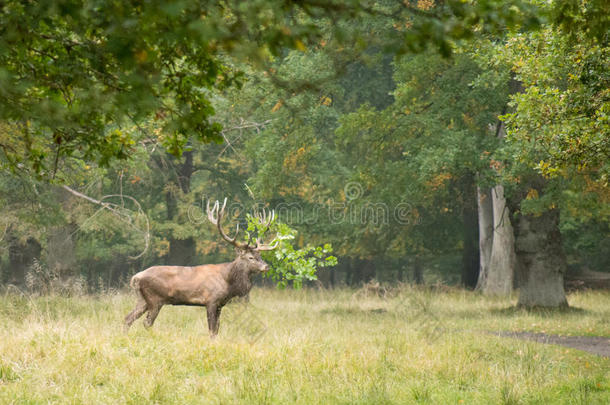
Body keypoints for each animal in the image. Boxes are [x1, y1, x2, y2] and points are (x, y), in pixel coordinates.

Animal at [124, 197, 276, 336]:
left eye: (260, 256)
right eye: (250, 257)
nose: (266, 266)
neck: (228, 282)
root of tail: (135, 278)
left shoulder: (220, 304)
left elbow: (216, 330)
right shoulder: (211, 300)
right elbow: (212, 330)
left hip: (142, 299)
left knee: (128, 318)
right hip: (155, 299)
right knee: (147, 322)